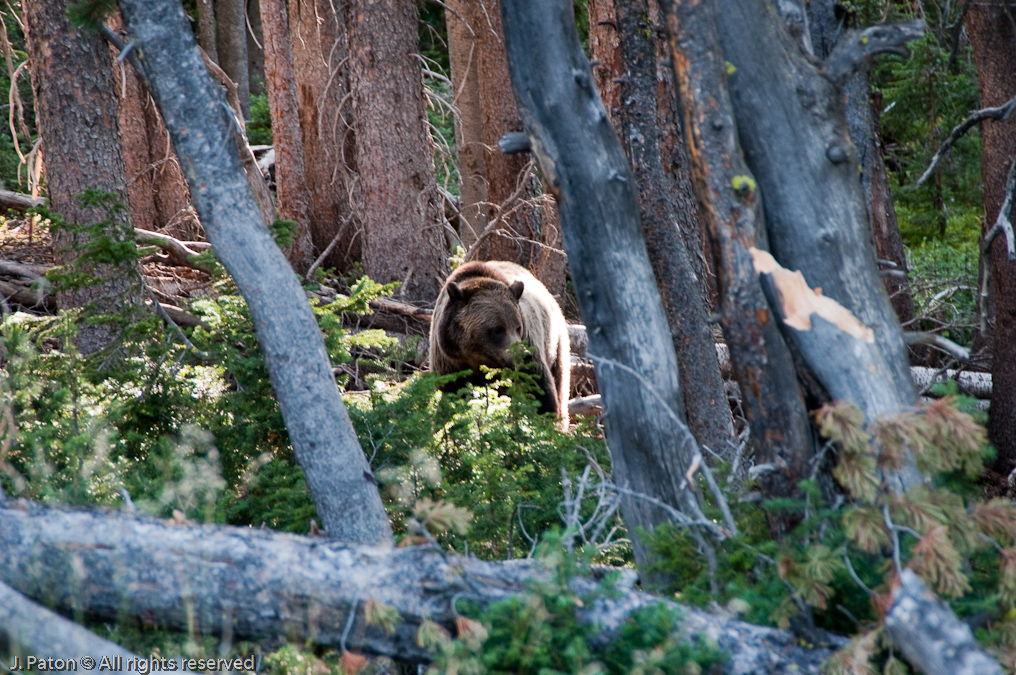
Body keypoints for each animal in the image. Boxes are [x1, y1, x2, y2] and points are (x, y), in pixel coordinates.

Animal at [430, 260, 571, 430]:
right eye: (498, 329)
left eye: (518, 327)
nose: (523, 354)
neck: (477, 357)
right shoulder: (450, 363)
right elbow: (451, 396)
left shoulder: (529, 348)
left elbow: (540, 390)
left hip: (556, 344)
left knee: (559, 382)